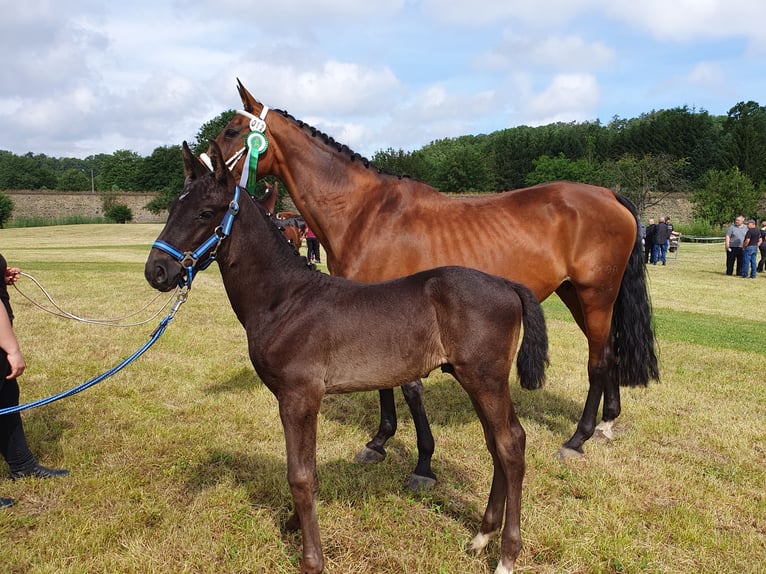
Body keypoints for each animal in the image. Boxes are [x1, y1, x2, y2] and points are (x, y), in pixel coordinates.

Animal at [144, 141, 552, 574]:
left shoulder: (300, 397)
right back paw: (481, 535)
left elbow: (301, 475)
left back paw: (506, 554)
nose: (157, 271)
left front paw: (311, 559)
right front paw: (293, 523)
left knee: (511, 444)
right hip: (474, 378)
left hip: (485, 377)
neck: (285, 299)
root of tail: (506, 284)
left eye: (206, 212)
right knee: (497, 444)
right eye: (173, 207)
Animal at [212, 80, 660, 486]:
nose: (206, 166)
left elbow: (409, 388)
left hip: (596, 295)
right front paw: (379, 442)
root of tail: (609, 195)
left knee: (598, 360)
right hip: (579, 297)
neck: (364, 213)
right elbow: (387, 383)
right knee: (610, 352)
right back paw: (606, 423)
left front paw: (421, 462)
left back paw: (577, 439)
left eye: (231, 131)